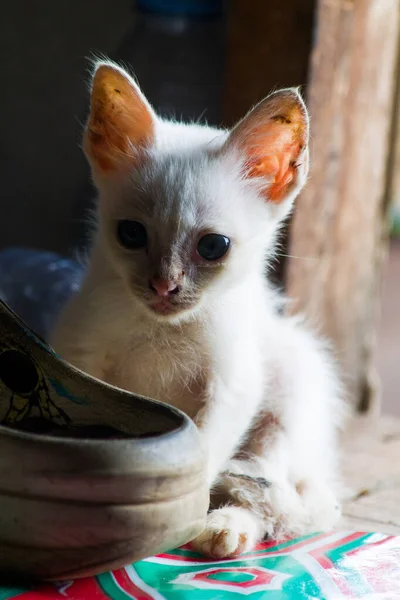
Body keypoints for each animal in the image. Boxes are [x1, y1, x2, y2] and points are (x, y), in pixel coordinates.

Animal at [51, 59, 346, 556]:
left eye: (213, 246)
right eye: (130, 234)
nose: (163, 286)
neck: (162, 329)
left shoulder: (233, 384)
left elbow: (201, 455)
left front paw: (178, 518)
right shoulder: (79, 359)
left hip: (291, 385)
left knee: (272, 494)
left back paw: (227, 528)